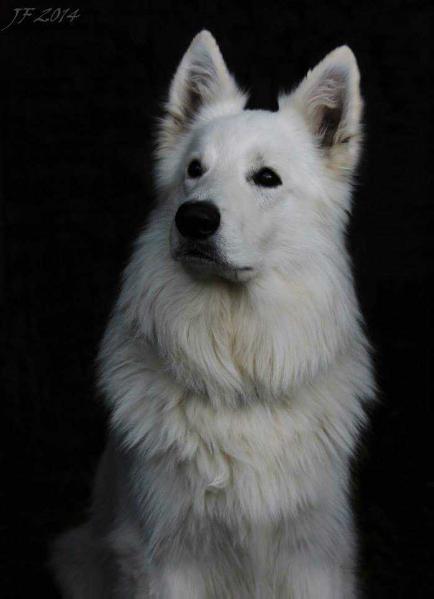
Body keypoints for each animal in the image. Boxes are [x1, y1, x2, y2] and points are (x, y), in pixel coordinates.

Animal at [51, 31, 376, 599]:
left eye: (266, 178)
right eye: (194, 171)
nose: (194, 219)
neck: (237, 368)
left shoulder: (314, 557)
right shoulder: (164, 559)